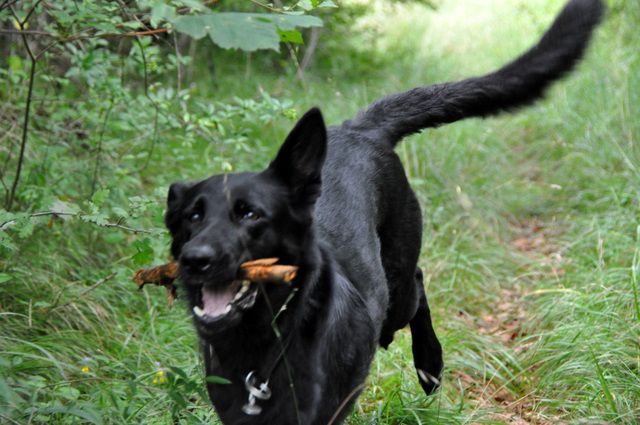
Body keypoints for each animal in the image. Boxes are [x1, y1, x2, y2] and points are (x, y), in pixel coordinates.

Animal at [162, 1, 604, 422]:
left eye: (251, 215)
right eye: (192, 217)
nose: (196, 260)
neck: (263, 344)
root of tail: (359, 128)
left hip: (395, 290)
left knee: (418, 284)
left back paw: (430, 364)